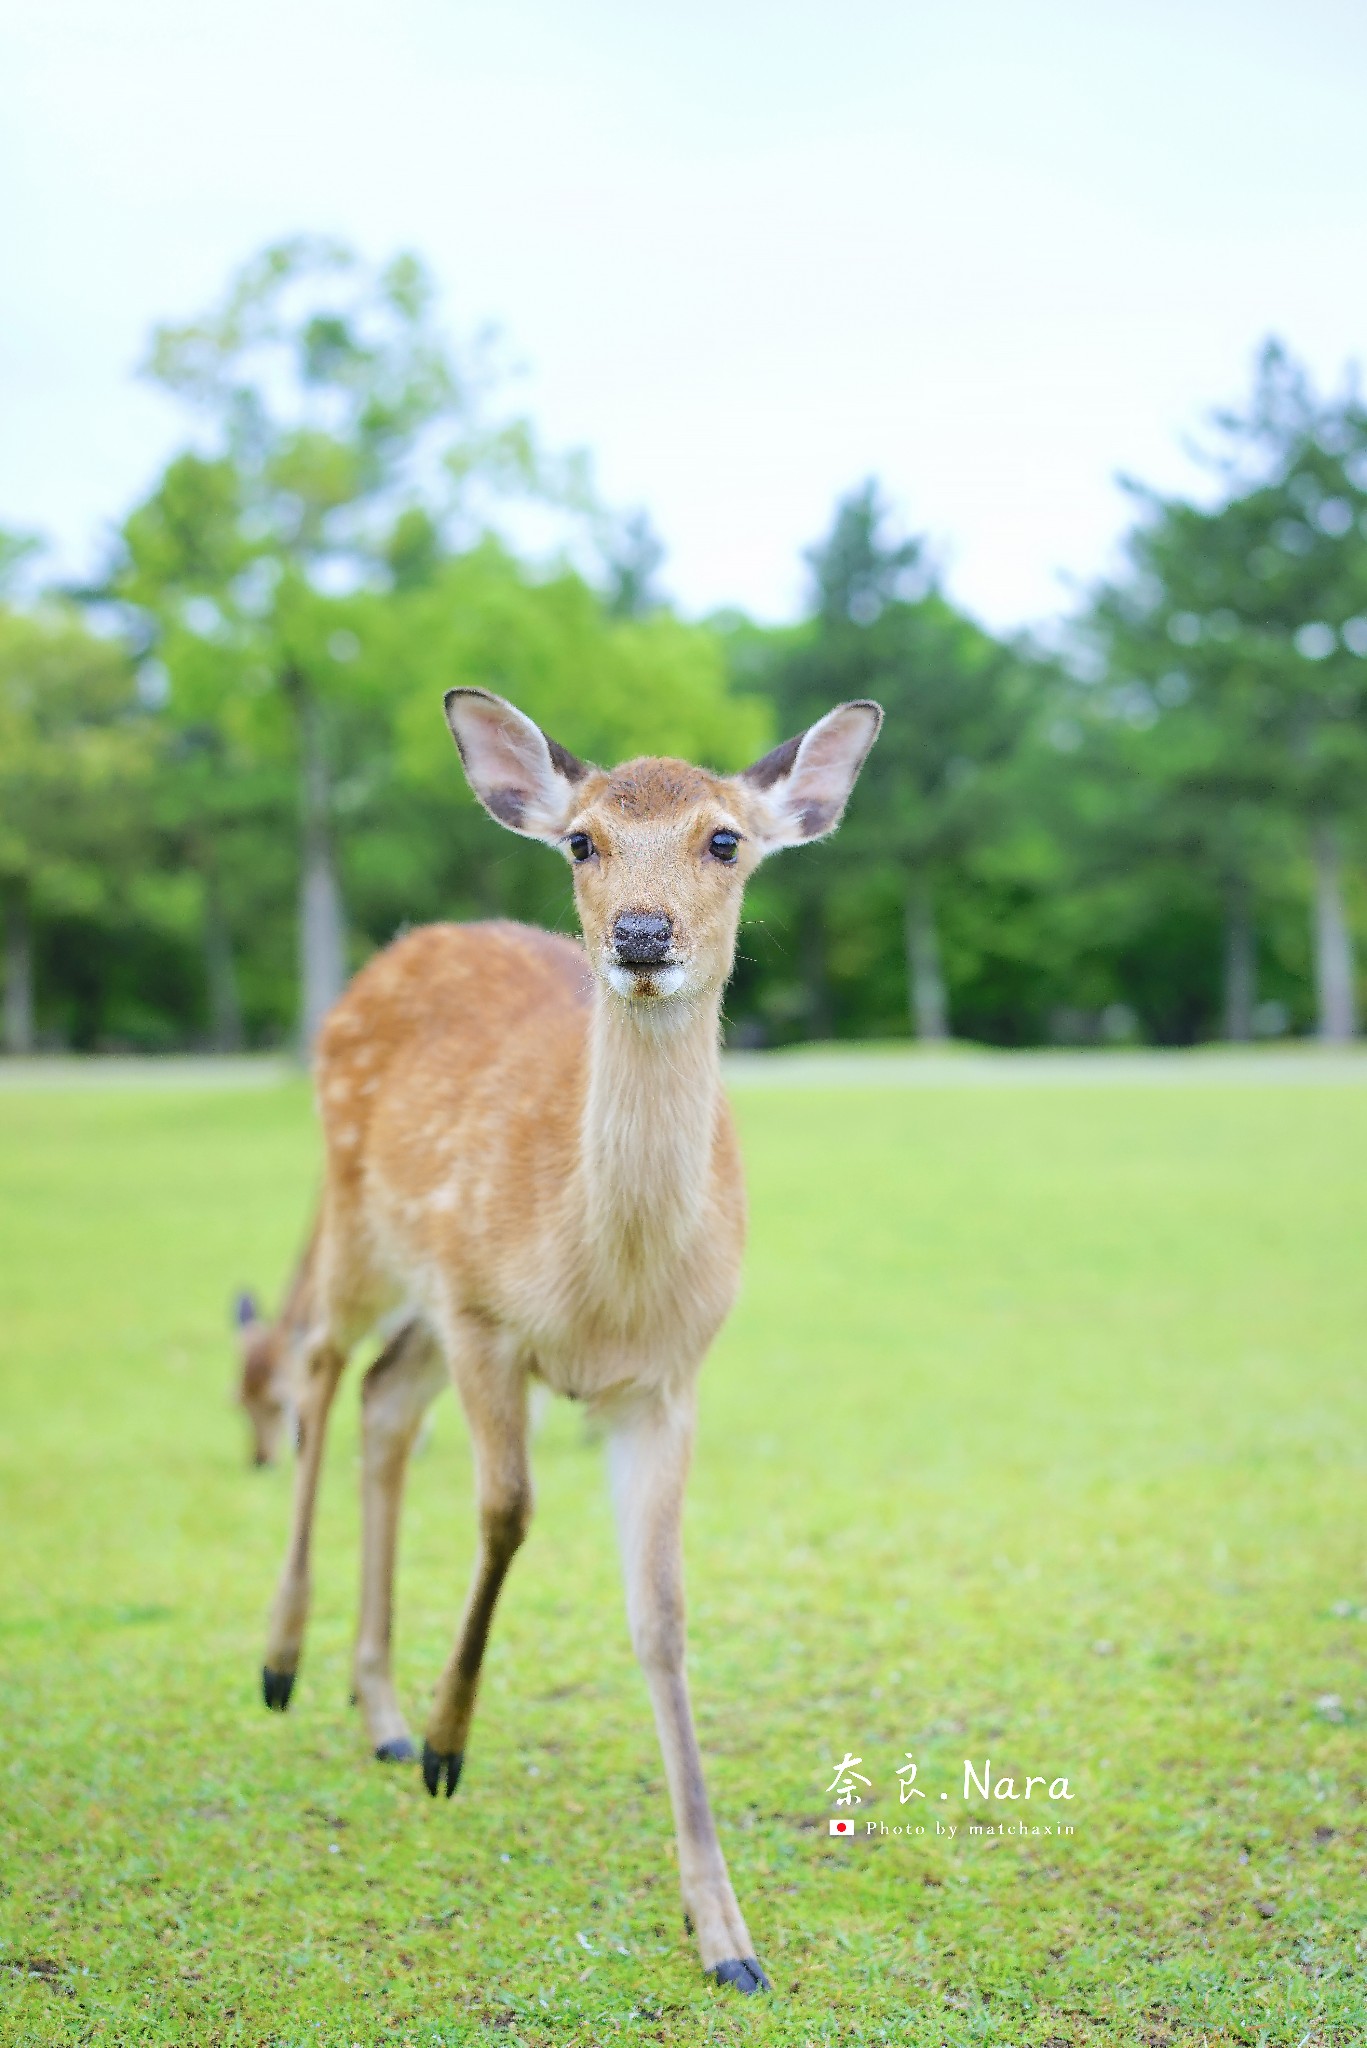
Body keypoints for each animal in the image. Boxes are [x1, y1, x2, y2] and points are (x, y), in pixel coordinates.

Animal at [240, 684, 881, 1982]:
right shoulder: (489, 1318)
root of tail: (389, 955)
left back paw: (376, 1714)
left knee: (383, 1399)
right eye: (582, 840)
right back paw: (287, 1665)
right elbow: (506, 1512)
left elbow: (663, 1613)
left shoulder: (667, 1377)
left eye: (723, 838)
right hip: (364, 1225)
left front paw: (723, 1930)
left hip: (421, 1299)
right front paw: (452, 1741)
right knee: (321, 1369)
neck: (605, 1283)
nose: (638, 933)